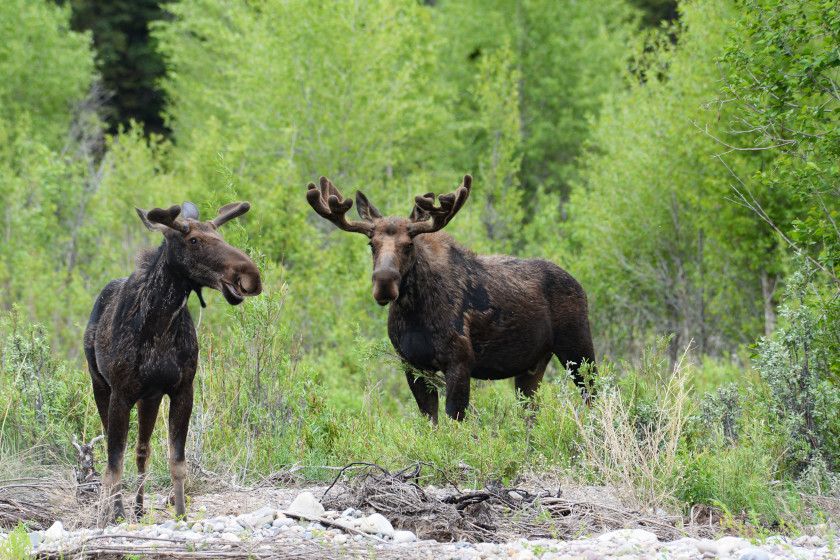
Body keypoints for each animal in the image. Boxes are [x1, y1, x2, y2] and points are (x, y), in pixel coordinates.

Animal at [84, 199, 262, 524]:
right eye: (193, 240)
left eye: (219, 235)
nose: (250, 275)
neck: (162, 325)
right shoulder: (120, 393)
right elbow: (114, 463)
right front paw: (113, 517)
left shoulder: (182, 390)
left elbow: (176, 462)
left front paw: (180, 515)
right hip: (99, 383)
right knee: (117, 454)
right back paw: (117, 509)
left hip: (150, 398)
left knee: (142, 450)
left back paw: (139, 509)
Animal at [308, 175, 596, 424]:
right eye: (371, 244)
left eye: (409, 244)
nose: (384, 283)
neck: (414, 313)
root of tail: (579, 285)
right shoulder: (412, 365)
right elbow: (431, 422)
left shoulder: (459, 362)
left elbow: (455, 422)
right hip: (532, 366)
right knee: (531, 415)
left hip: (578, 349)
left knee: (593, 396)